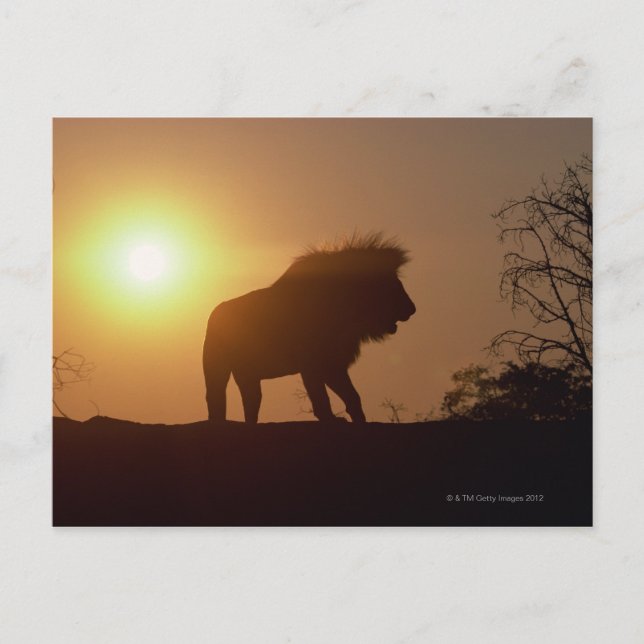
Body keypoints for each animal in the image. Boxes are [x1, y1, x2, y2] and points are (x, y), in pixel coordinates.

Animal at [203, 233, 416, 423]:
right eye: (391, 283)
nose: (412, 308)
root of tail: (215, 312)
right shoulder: (312, 363)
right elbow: (321, 398)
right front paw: (332, 419)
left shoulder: (333, 363)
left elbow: (352, 397)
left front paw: (359, 420)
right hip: (217, 367)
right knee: (216, 399)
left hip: (248, 374)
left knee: (251, 402)